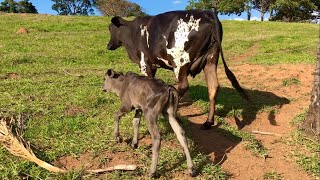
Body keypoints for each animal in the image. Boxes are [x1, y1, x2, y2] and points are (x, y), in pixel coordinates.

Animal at [107, 9, 248, 129]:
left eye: (110, 29)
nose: (108, 46)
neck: (132, 33)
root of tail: (207, 13)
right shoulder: (153, 66)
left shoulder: (144, 64)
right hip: (211, 60)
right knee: (213, 87)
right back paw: (208, 122)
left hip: (180, 63)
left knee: (183, 85)